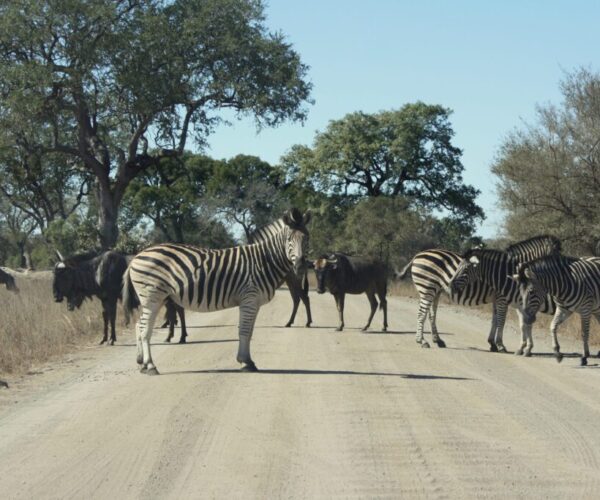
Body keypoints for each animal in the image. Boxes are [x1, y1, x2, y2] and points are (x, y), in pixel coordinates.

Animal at [121, 207, 310, 376]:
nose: (300, 267)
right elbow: (244, 331)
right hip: (152, 296)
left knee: (139, 325)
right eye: (289, 239)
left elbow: (249, 332)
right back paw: (151, 366)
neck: (264, 261)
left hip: (155, 298)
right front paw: (245, 362)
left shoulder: (254, 302)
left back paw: (142, 363)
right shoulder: (249, 298)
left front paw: (247, 360)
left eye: (306, 238)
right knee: (144, 329)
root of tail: (137, 255)